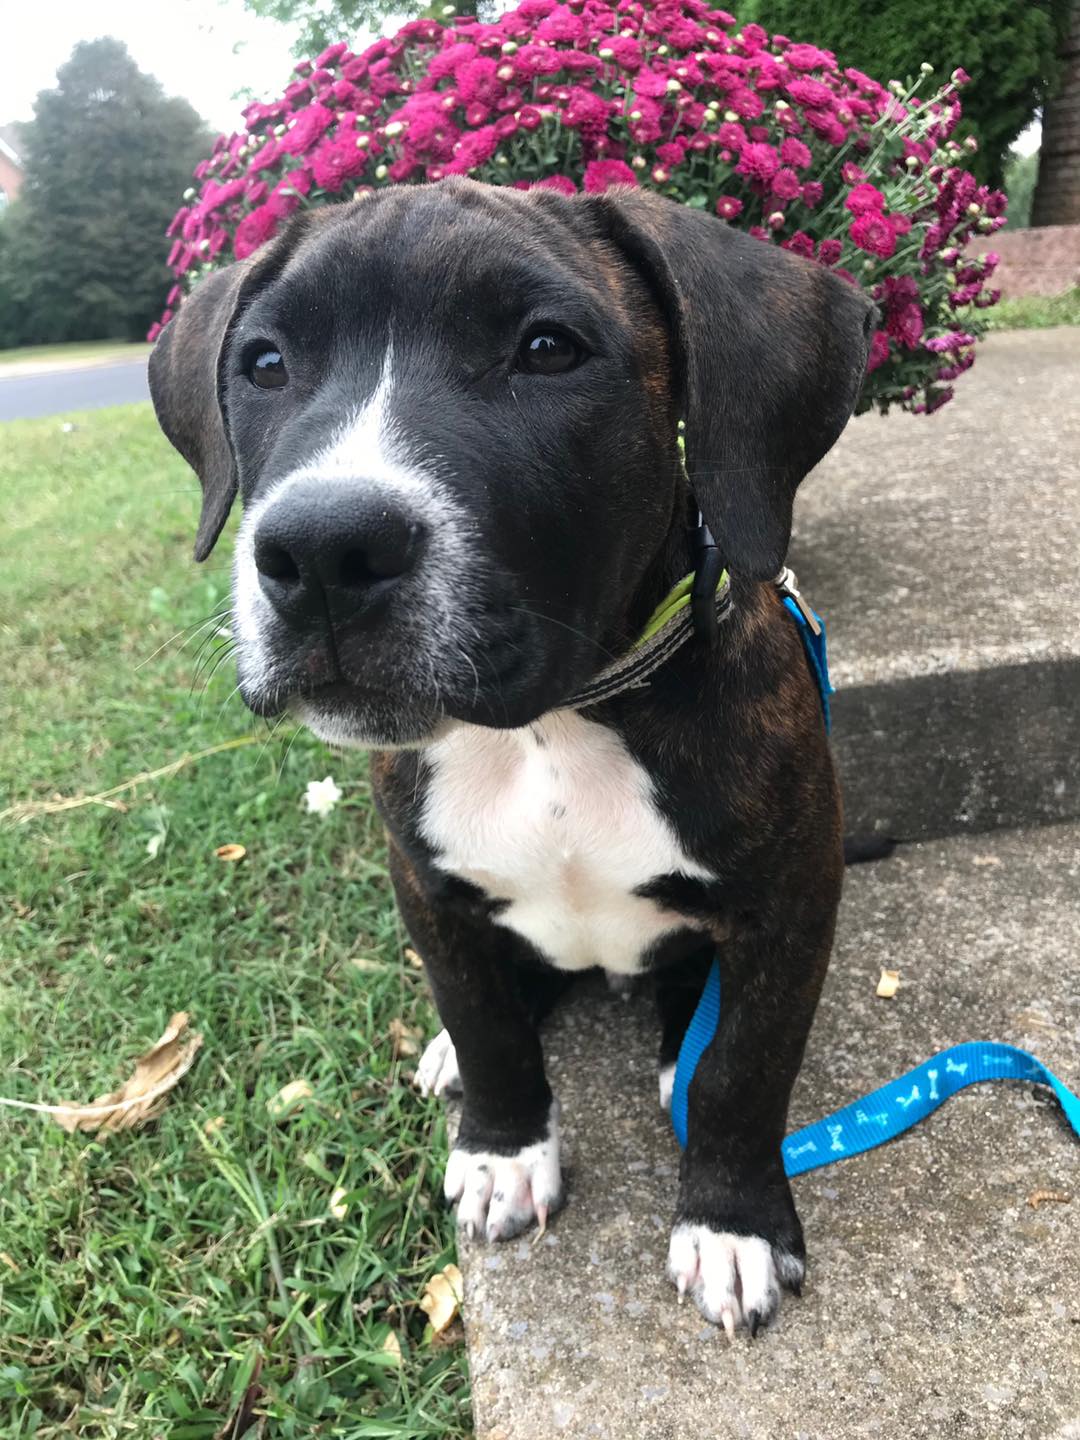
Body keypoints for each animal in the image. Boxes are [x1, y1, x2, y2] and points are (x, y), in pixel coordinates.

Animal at [149, 178, 873, 1335]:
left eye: (546, 350)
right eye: (263, 364)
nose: (322, 550)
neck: (551, 724)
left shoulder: (792, 902)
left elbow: (743, 1070)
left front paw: (731, 1225)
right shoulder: (427, 886)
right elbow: (486, 1022)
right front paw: (501, 1152)